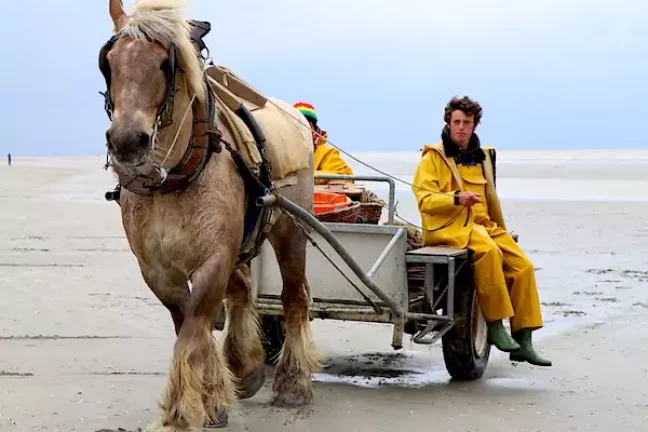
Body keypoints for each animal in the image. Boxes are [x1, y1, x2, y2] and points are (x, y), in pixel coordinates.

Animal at [99, 0, 322, 430]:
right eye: (110, 62)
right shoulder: (156, 269)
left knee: (294, 296)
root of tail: (295, 116)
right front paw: (216, 395)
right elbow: (189, 323)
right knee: (241, 294)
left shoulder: (215, 257)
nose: (127, 141)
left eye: (165, 64)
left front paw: (182, 411)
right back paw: (245, 366)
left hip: (290, 228)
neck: (174, 176)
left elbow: (194, 328)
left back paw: (292, 381)